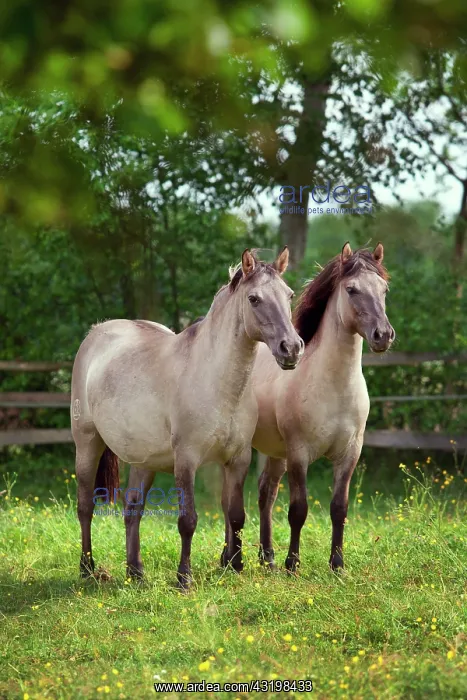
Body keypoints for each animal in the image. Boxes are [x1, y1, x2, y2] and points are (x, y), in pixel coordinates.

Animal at [71, 247, 304, 589]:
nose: (292, 348)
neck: (216, 380)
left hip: (143, 461)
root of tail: (96, 333)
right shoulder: (187, 460)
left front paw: (236, 566)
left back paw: (135, 571)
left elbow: (236, 514)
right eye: (254, 299)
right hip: (87, 444)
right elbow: (188, 520)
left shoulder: (238, 459)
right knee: (85, 507)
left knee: (132, 507)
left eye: (289, 295)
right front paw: (184, 578)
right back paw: (87, 568)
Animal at [252, 243, 395, 573]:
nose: (383, 335)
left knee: (266, 493)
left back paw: (268, 558)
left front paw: (337, 564)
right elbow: (298, 510)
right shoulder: (299, 454)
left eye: (384, 289)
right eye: (352, 289)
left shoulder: (349, 454)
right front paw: (293, 565)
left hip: (274, 453)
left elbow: (339, 508)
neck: (334, 389)